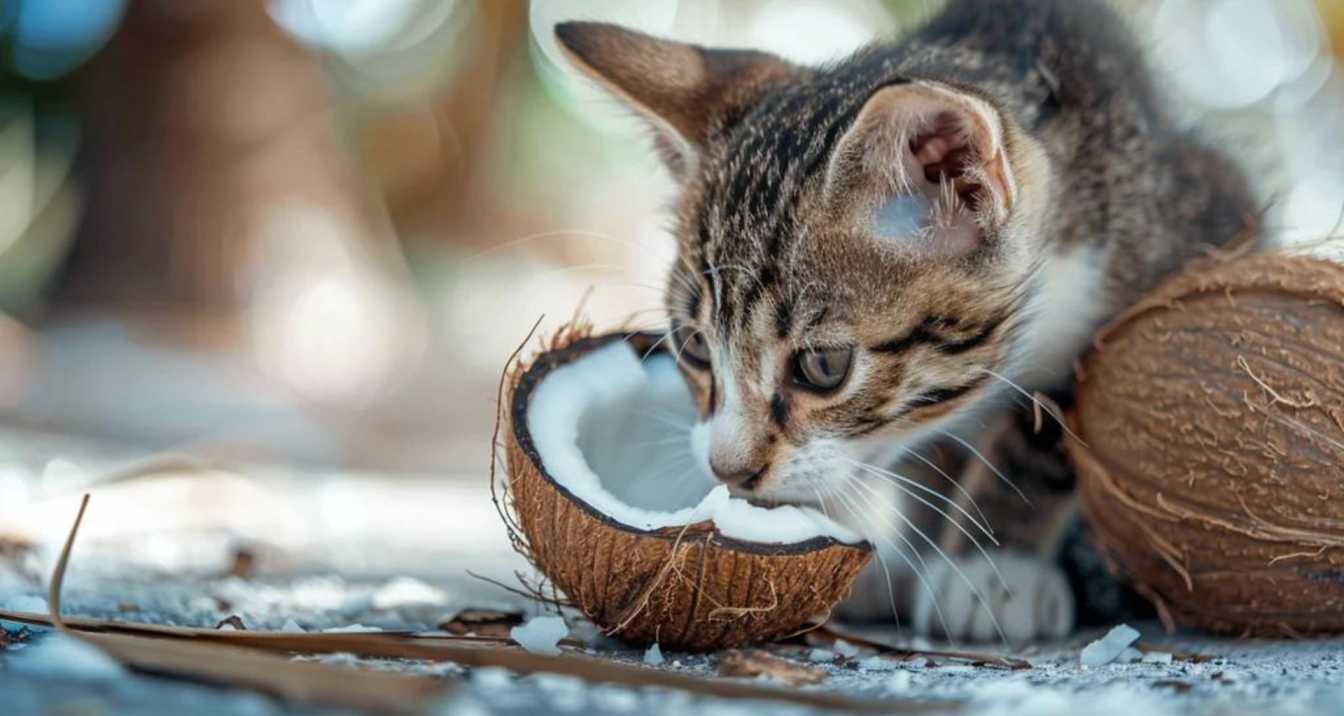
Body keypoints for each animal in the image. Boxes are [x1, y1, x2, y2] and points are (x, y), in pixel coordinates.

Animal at [551, 0, 1252, 642]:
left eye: (823, 367)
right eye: (695, 347)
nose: (730, 471)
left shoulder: (1200, 229)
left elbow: (1048, 424)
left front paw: (999, 565)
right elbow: (926, 456)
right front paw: (919, 559)